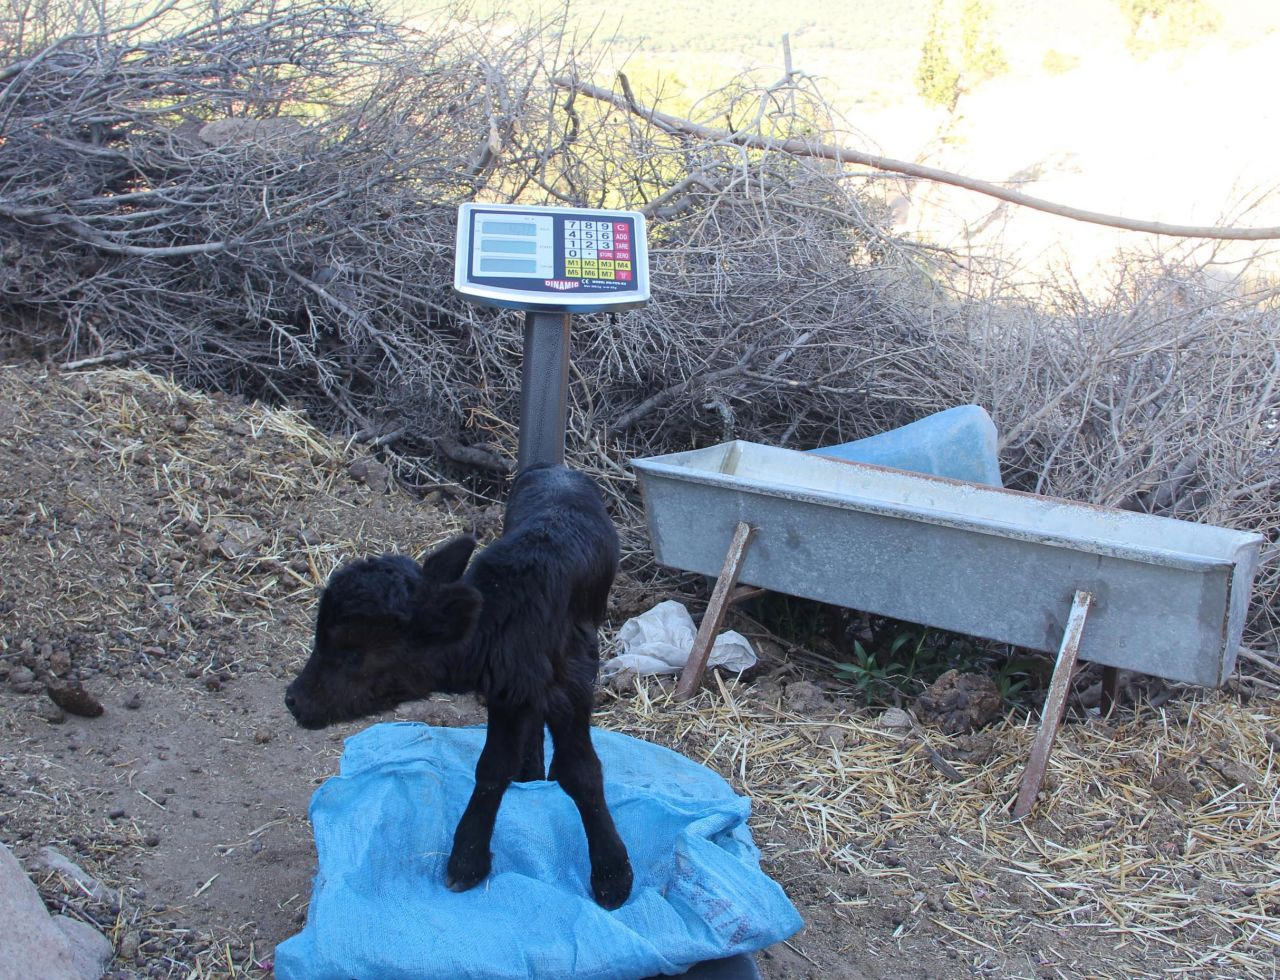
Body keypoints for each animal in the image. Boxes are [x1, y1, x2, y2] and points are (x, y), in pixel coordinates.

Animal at [286, 465, 634, 910]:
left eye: (351, 654)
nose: (293, 700)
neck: (509, 609)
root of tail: (557, 470)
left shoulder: (571, 680)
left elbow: (581, 771)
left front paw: (612, 874)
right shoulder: (509, 689)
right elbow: (492, 767)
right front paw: (467, 858)